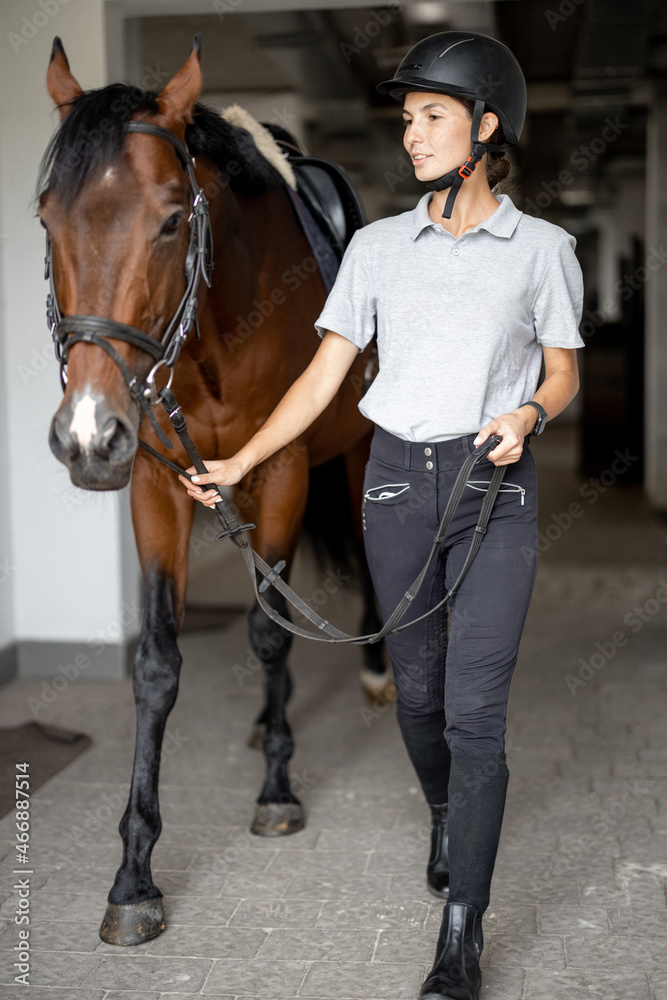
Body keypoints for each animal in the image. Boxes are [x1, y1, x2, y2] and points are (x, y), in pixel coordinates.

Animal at [40, 39, 386, 944]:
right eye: (46, 219)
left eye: (170, 220)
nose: (85, 433)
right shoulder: (155, 483)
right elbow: (158, 664)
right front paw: (133, 874)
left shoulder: (285, 470)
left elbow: (267, 634)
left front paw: (277, 792)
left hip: (355, 454)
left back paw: (373, 674)